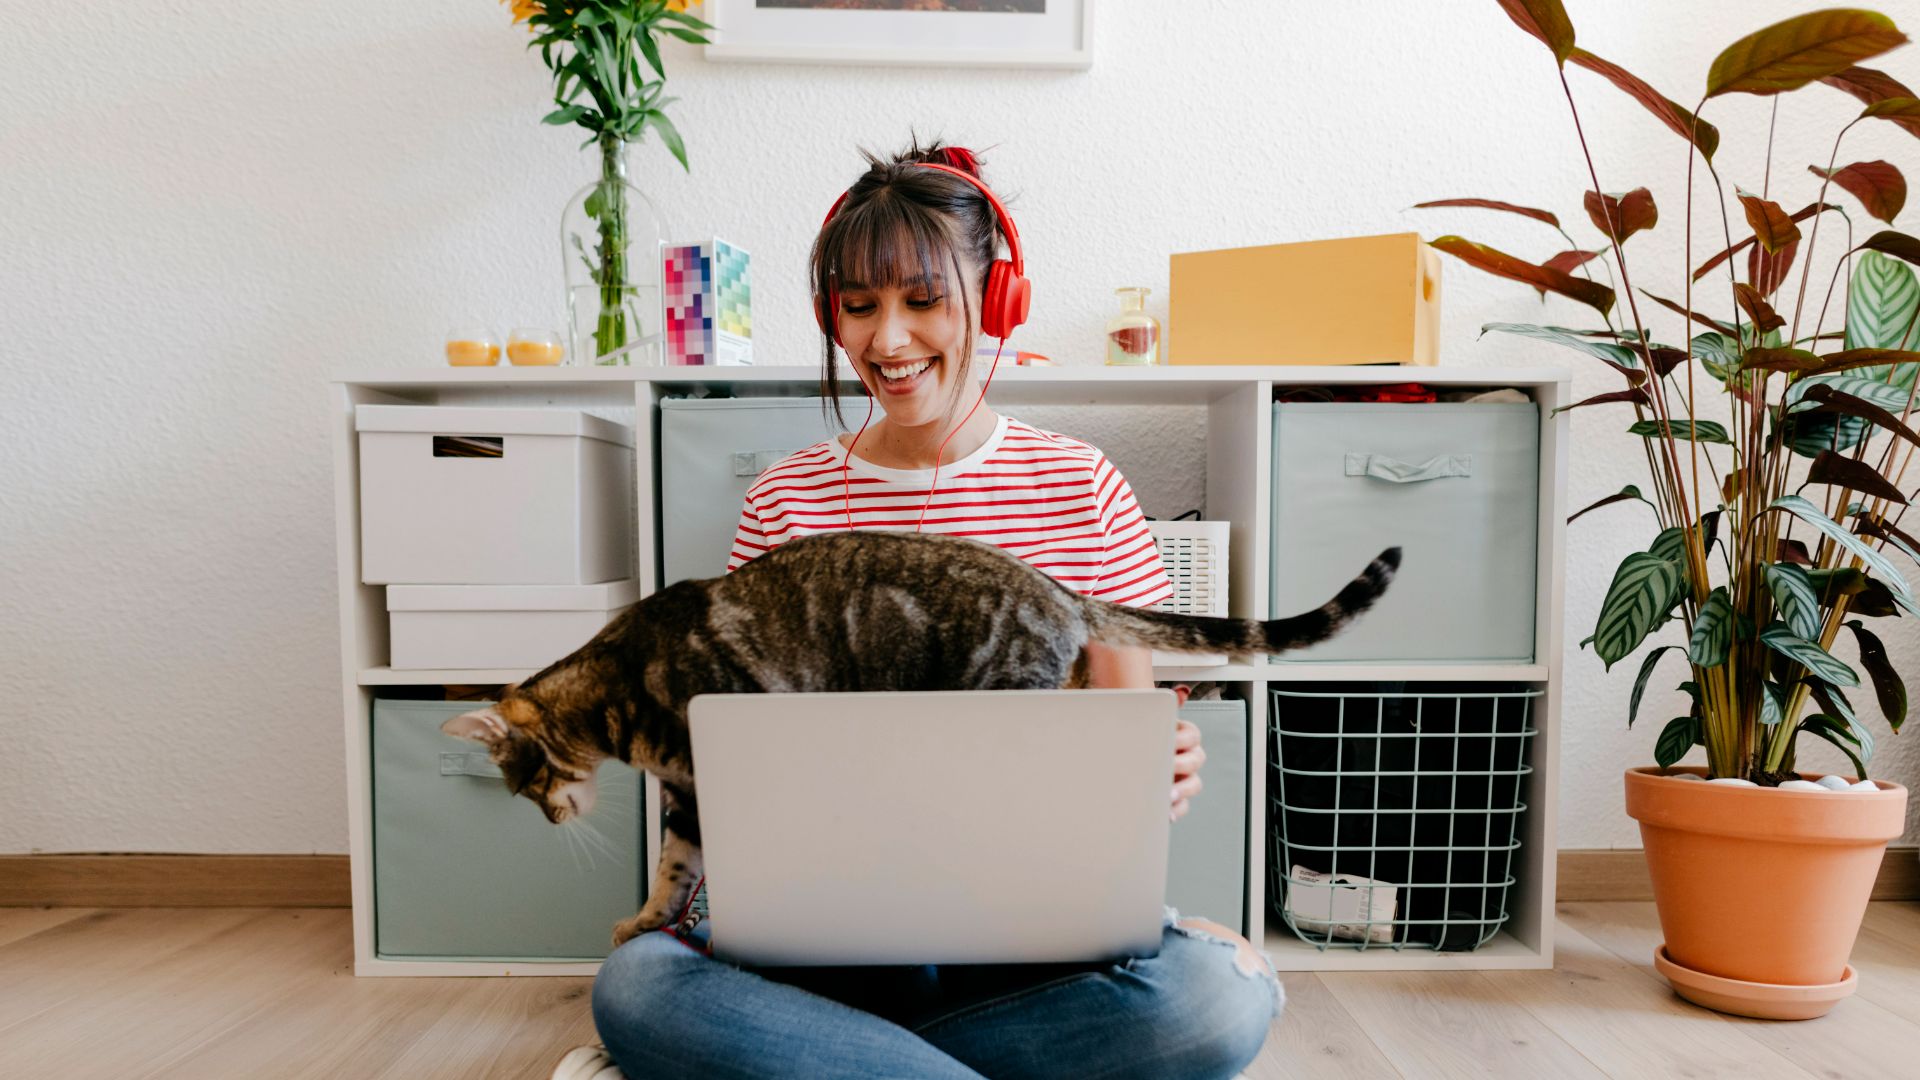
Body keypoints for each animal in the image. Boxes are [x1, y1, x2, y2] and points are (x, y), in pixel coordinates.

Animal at [439, 530, 1397, 941]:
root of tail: (1055, 591)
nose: (550, 819)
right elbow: (676, 870)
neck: (620, 691)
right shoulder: (688, 792)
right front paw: (646, 920)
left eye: (525, 783)